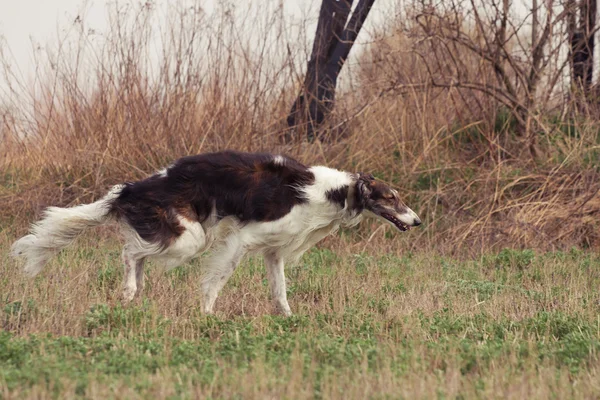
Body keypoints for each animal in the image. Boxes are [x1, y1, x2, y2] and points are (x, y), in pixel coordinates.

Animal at [10, 150, 422, 316]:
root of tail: (131, 189)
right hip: (190, 237)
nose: (418, 221)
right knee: (131, 253)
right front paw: (208, 313)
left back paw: (133, 294)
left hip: (179, 235)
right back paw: (128, 290)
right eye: (392, 197)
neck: (331, 191)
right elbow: (216, 281)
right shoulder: (243, 240)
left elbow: (280, 291)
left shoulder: (274, 250)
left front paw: (290, 319)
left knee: (137, 254)